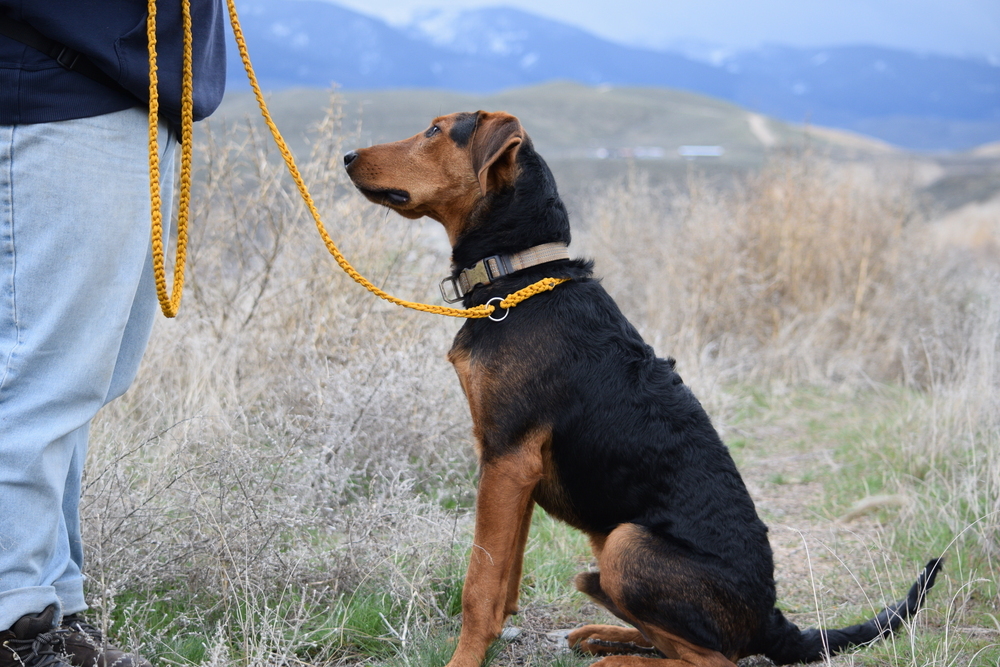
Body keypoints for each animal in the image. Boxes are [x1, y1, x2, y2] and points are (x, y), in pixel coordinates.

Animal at [342, 112, 936, 664]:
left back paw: (617, 657)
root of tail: (771, 620)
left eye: (435, 130)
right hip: (606, 555)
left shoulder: (507, 456)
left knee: (716, 659)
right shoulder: (513, 467)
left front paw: (465, 657)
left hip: (626, 543)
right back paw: (604, 636)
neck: (517, 276)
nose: (347, 156)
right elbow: (505, 574)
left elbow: (479, 583)